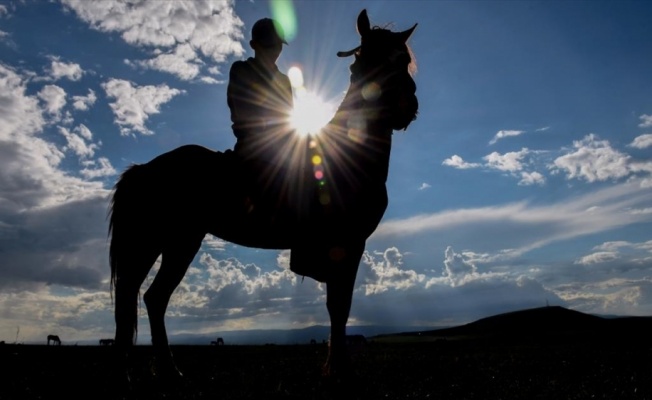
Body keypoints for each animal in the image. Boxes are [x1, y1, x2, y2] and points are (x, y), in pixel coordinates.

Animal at [107, 7, 418, 380]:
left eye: (403, 59)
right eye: (360, 63)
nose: (404, 107)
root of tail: (144, 169)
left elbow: (338, 306)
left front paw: (335, 365)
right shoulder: (348, 243)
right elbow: (339, 305)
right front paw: (338, 368)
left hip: (167, 242)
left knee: (145, 297)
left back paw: (156, 370)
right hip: (169, 241)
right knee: (142, 297)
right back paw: (153, 369)